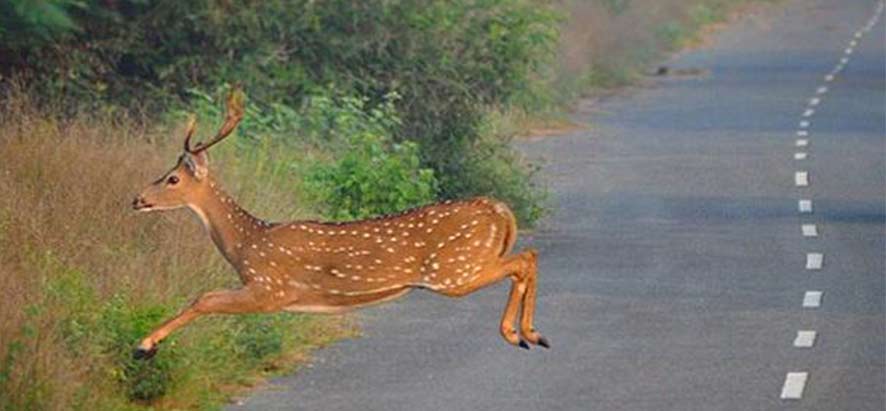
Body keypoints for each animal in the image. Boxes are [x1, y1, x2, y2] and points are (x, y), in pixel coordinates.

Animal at [131, 88, 548, 358]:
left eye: (172, 179)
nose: (137, 199)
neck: (245, 242)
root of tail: (499, 210)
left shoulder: (271, 288)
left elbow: (205, 298)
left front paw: (143, 346)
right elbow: (206, 298)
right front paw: (146, 345)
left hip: (453, 270)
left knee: (524, 258)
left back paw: (520, 333)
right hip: (463, 266)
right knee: (527, 257)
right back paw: (528, 335)